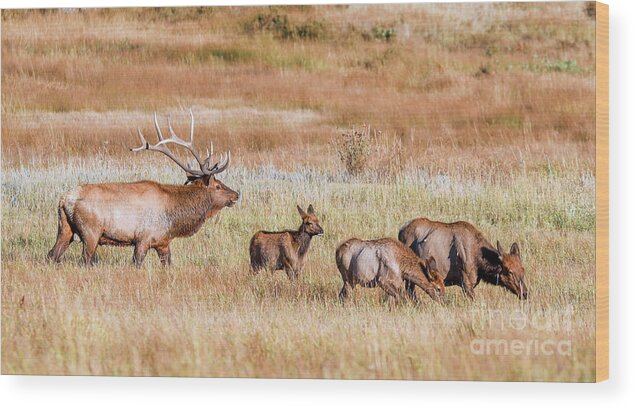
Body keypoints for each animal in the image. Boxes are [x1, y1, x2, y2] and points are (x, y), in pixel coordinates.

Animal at [47, 110, 238, 268]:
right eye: (218, 186)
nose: (236, 194)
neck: (174, 217)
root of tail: (64, 200)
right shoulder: (143, 238)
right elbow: (136, 263)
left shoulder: (163, 242)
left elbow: (168, 265)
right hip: (90, 231)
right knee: (85, 259)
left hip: (65, 228)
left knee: (52, 254)